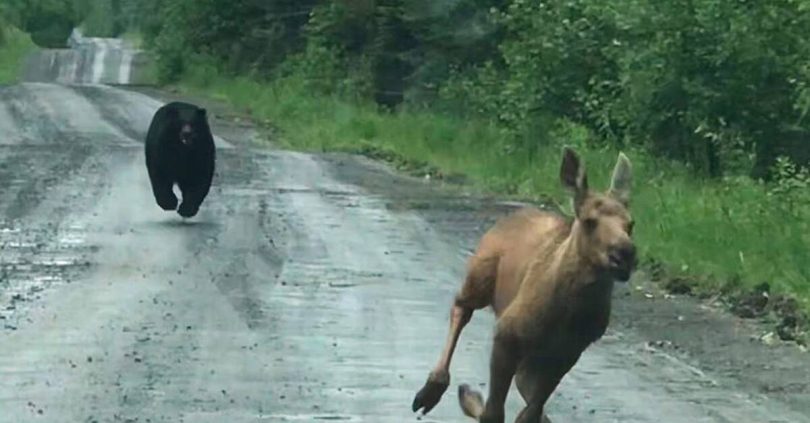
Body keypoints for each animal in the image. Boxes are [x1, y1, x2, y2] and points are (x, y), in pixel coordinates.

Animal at [411, 147, 636, 423]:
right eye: (589, 221)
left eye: (631, 224)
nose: (624, 254)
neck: (569, 312)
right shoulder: (507, 334)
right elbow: (494, 412)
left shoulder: (567, 353)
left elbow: (530, 411)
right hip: (480, 275)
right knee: (462, 306)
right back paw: (432, 389)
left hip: (533, 357)